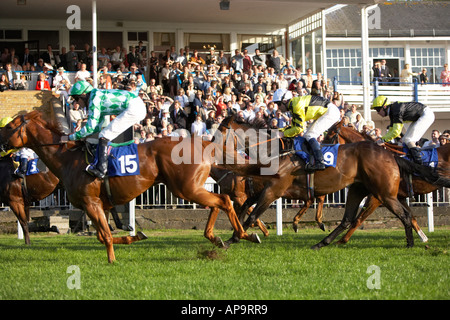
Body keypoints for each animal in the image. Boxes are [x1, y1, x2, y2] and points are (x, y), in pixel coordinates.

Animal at [0, 110, 260, 262]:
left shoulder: (91, 203)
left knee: (223, 201)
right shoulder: (98, 205)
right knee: (219, 203)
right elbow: (102, 235)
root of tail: (203, 143)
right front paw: (134, 237)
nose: (1, 143)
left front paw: (112, 260)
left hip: (185, 188)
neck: (67, 159)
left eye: (10, 126)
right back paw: (220, 238)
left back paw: (242, 234)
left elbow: (104, 235)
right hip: (190, 188)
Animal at [216, 115, 448, 250]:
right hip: (359, 189)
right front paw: (236, 234)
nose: (210, 145)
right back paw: (323, 242)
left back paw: (410, 243)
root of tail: (390, 155)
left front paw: (233, 239)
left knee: (402, 215)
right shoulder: (266, 189)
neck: (277, 153)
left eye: (220, 132)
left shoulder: (274, 190)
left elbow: (252, 214)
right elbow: (245, 209)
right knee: (348, 219)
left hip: (383, 194)